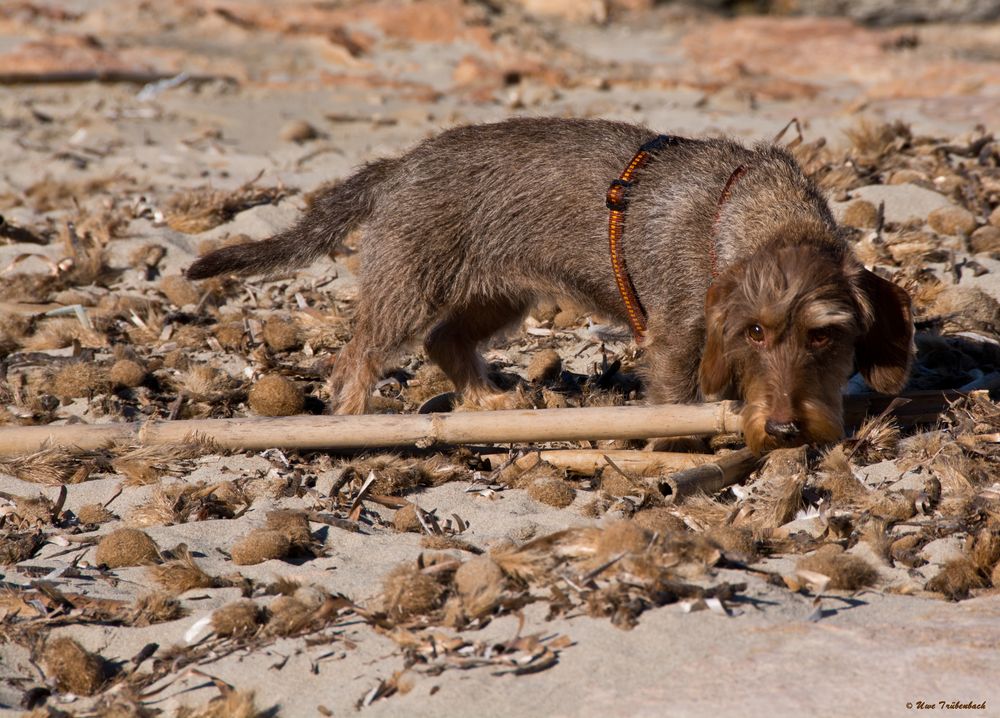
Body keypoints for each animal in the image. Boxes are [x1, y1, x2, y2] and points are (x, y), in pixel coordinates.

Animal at [188, 118, 916, 456]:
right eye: (755, 332)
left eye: (824, 338)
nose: (788, 428)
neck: (743, 213)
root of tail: (398, 165)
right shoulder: (676, 339)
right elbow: (673, 398)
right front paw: (674, 447)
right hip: (409, 287)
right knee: (358, 357)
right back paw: (349, 420)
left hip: (498, 296)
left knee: (445, 340)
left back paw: (486, 401)